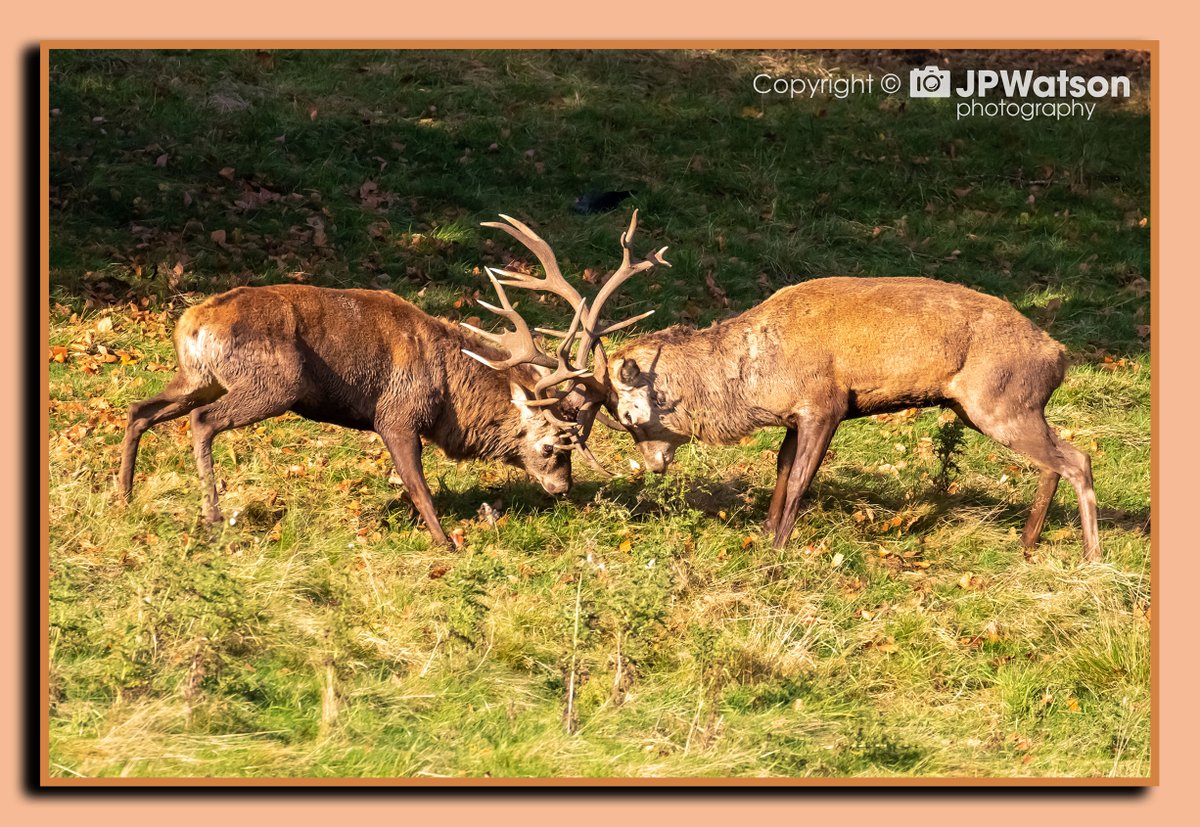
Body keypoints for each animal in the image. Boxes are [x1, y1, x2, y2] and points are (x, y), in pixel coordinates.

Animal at [116, 276, 636, 548]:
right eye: (552, 446)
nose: (562, 488)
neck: (450, 395)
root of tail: (190, 323)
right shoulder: (397, 414)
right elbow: (419, 487)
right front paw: (446, 542)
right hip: (274, 383)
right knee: (201, 421)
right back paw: (212, 516)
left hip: (197, 377)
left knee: (140, 408)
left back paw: (124, 494)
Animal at [606, 276, 1102, 562]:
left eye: (629, 416)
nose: (653, 464)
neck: (758, 383)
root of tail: (1059, 356)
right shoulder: (794, 416)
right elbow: (782, 470)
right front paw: (764, 533)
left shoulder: (825, 403)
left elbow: (801, 478)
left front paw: (778, 549)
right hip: (988, 408)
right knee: (1054, 461)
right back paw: (1027, 543)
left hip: (1000, 402)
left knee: (1078, 459)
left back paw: (1091, 556)